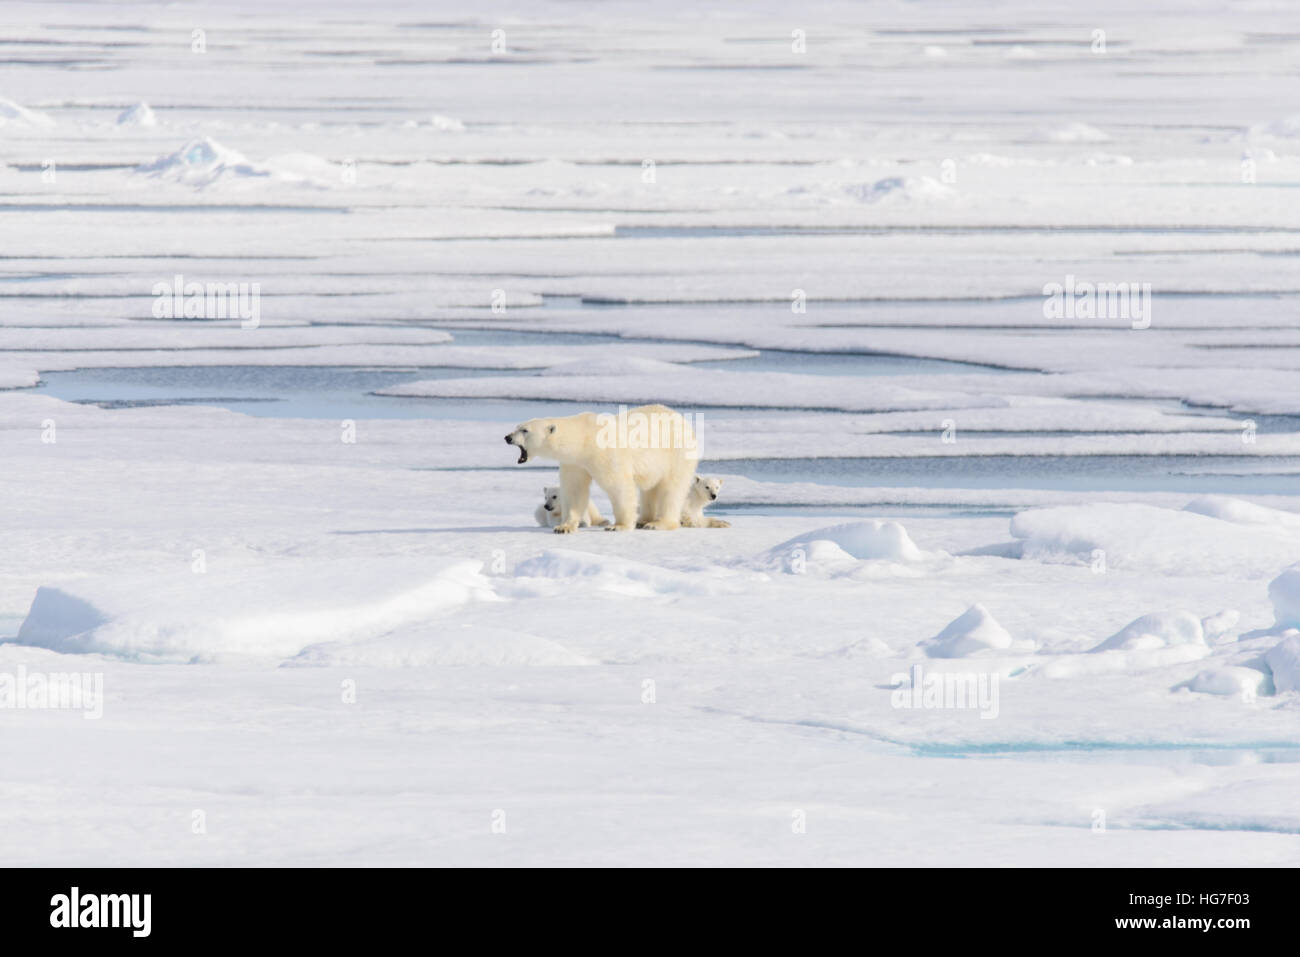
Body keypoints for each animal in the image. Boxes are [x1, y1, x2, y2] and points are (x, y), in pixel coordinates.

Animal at [505, 404, 697, 533]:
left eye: (525, 430)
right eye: (517, 427)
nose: (507, 437)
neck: (584, 438)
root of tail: (684, 421)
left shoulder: (605, 453)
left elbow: (619, 486)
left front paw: (618, 526)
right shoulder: (575, 462)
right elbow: (574, 490)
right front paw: (564, 527)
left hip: (676, 453)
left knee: (671, 488)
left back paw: (658, 523)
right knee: (650, 488)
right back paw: (643, 520)